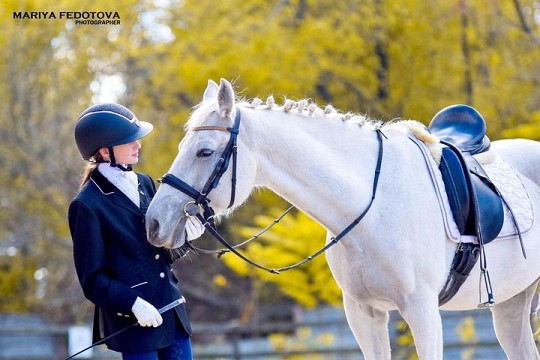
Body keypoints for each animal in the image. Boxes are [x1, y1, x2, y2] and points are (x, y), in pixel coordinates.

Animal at [146, 78, 540, 358]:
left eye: (204, 151)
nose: (154, 222)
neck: (372, 211)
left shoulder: (423, 312)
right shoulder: (363, 313)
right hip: (512, 305)